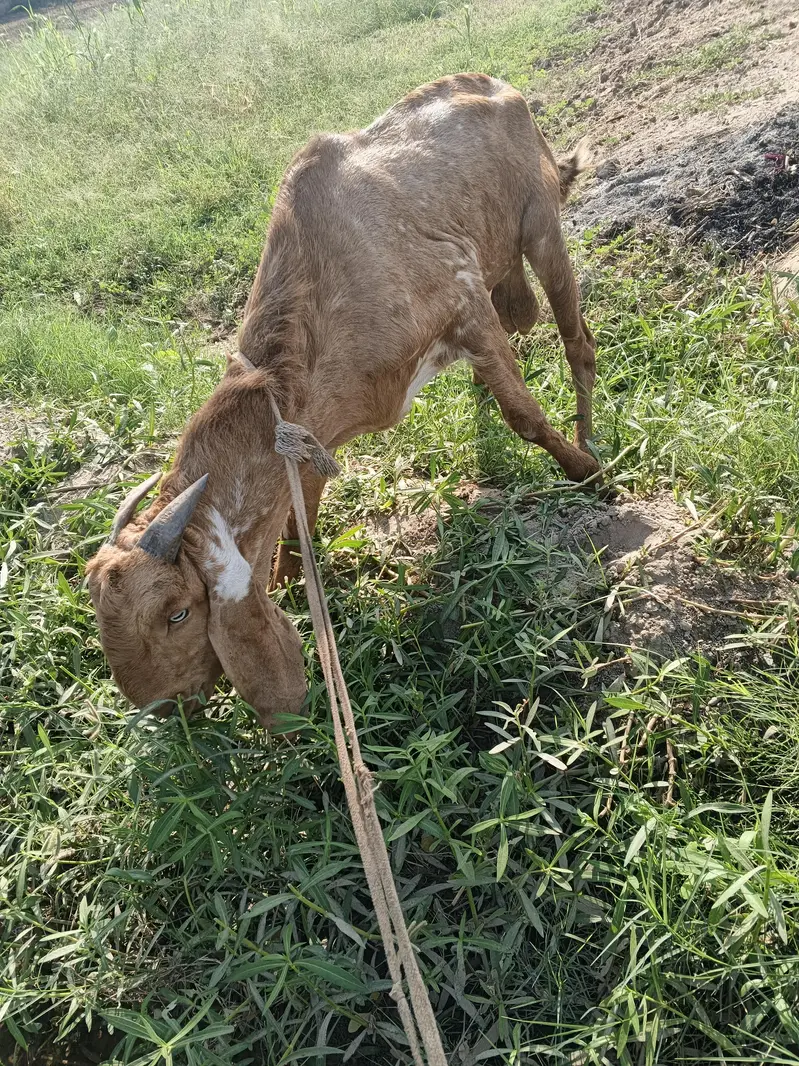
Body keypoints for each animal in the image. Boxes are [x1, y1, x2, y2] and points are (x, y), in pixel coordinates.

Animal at [86, 73, 600, 727]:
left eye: (177, 611)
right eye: (102, 614)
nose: (164, 709)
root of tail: (498, 87)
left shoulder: (461, 299)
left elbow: (525, 415)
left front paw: (585, 473)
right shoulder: (310, 441)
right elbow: (298, 517)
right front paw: (288, 579)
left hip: (541, 225)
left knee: (576, 340)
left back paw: (589, 441)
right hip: (502, 259)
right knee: (523, 315)